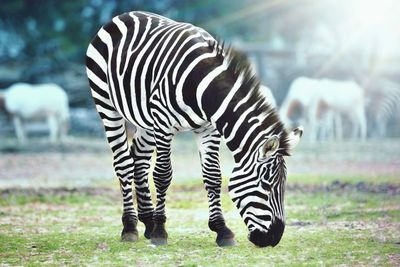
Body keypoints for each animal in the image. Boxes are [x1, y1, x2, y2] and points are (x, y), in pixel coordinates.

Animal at [85, 11, 304, 249]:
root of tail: (126, 14)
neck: (203, 88)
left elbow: (213, 176)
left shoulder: (208, 128)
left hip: (145, 119)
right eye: (266, 185)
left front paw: (222, 230)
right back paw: (131, 226)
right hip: (106, 103)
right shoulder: (163, 123)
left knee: (139, 160)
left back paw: (147, 222)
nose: (274, 239)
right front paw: (161, 231)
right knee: (123, 163)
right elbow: (163, 175)